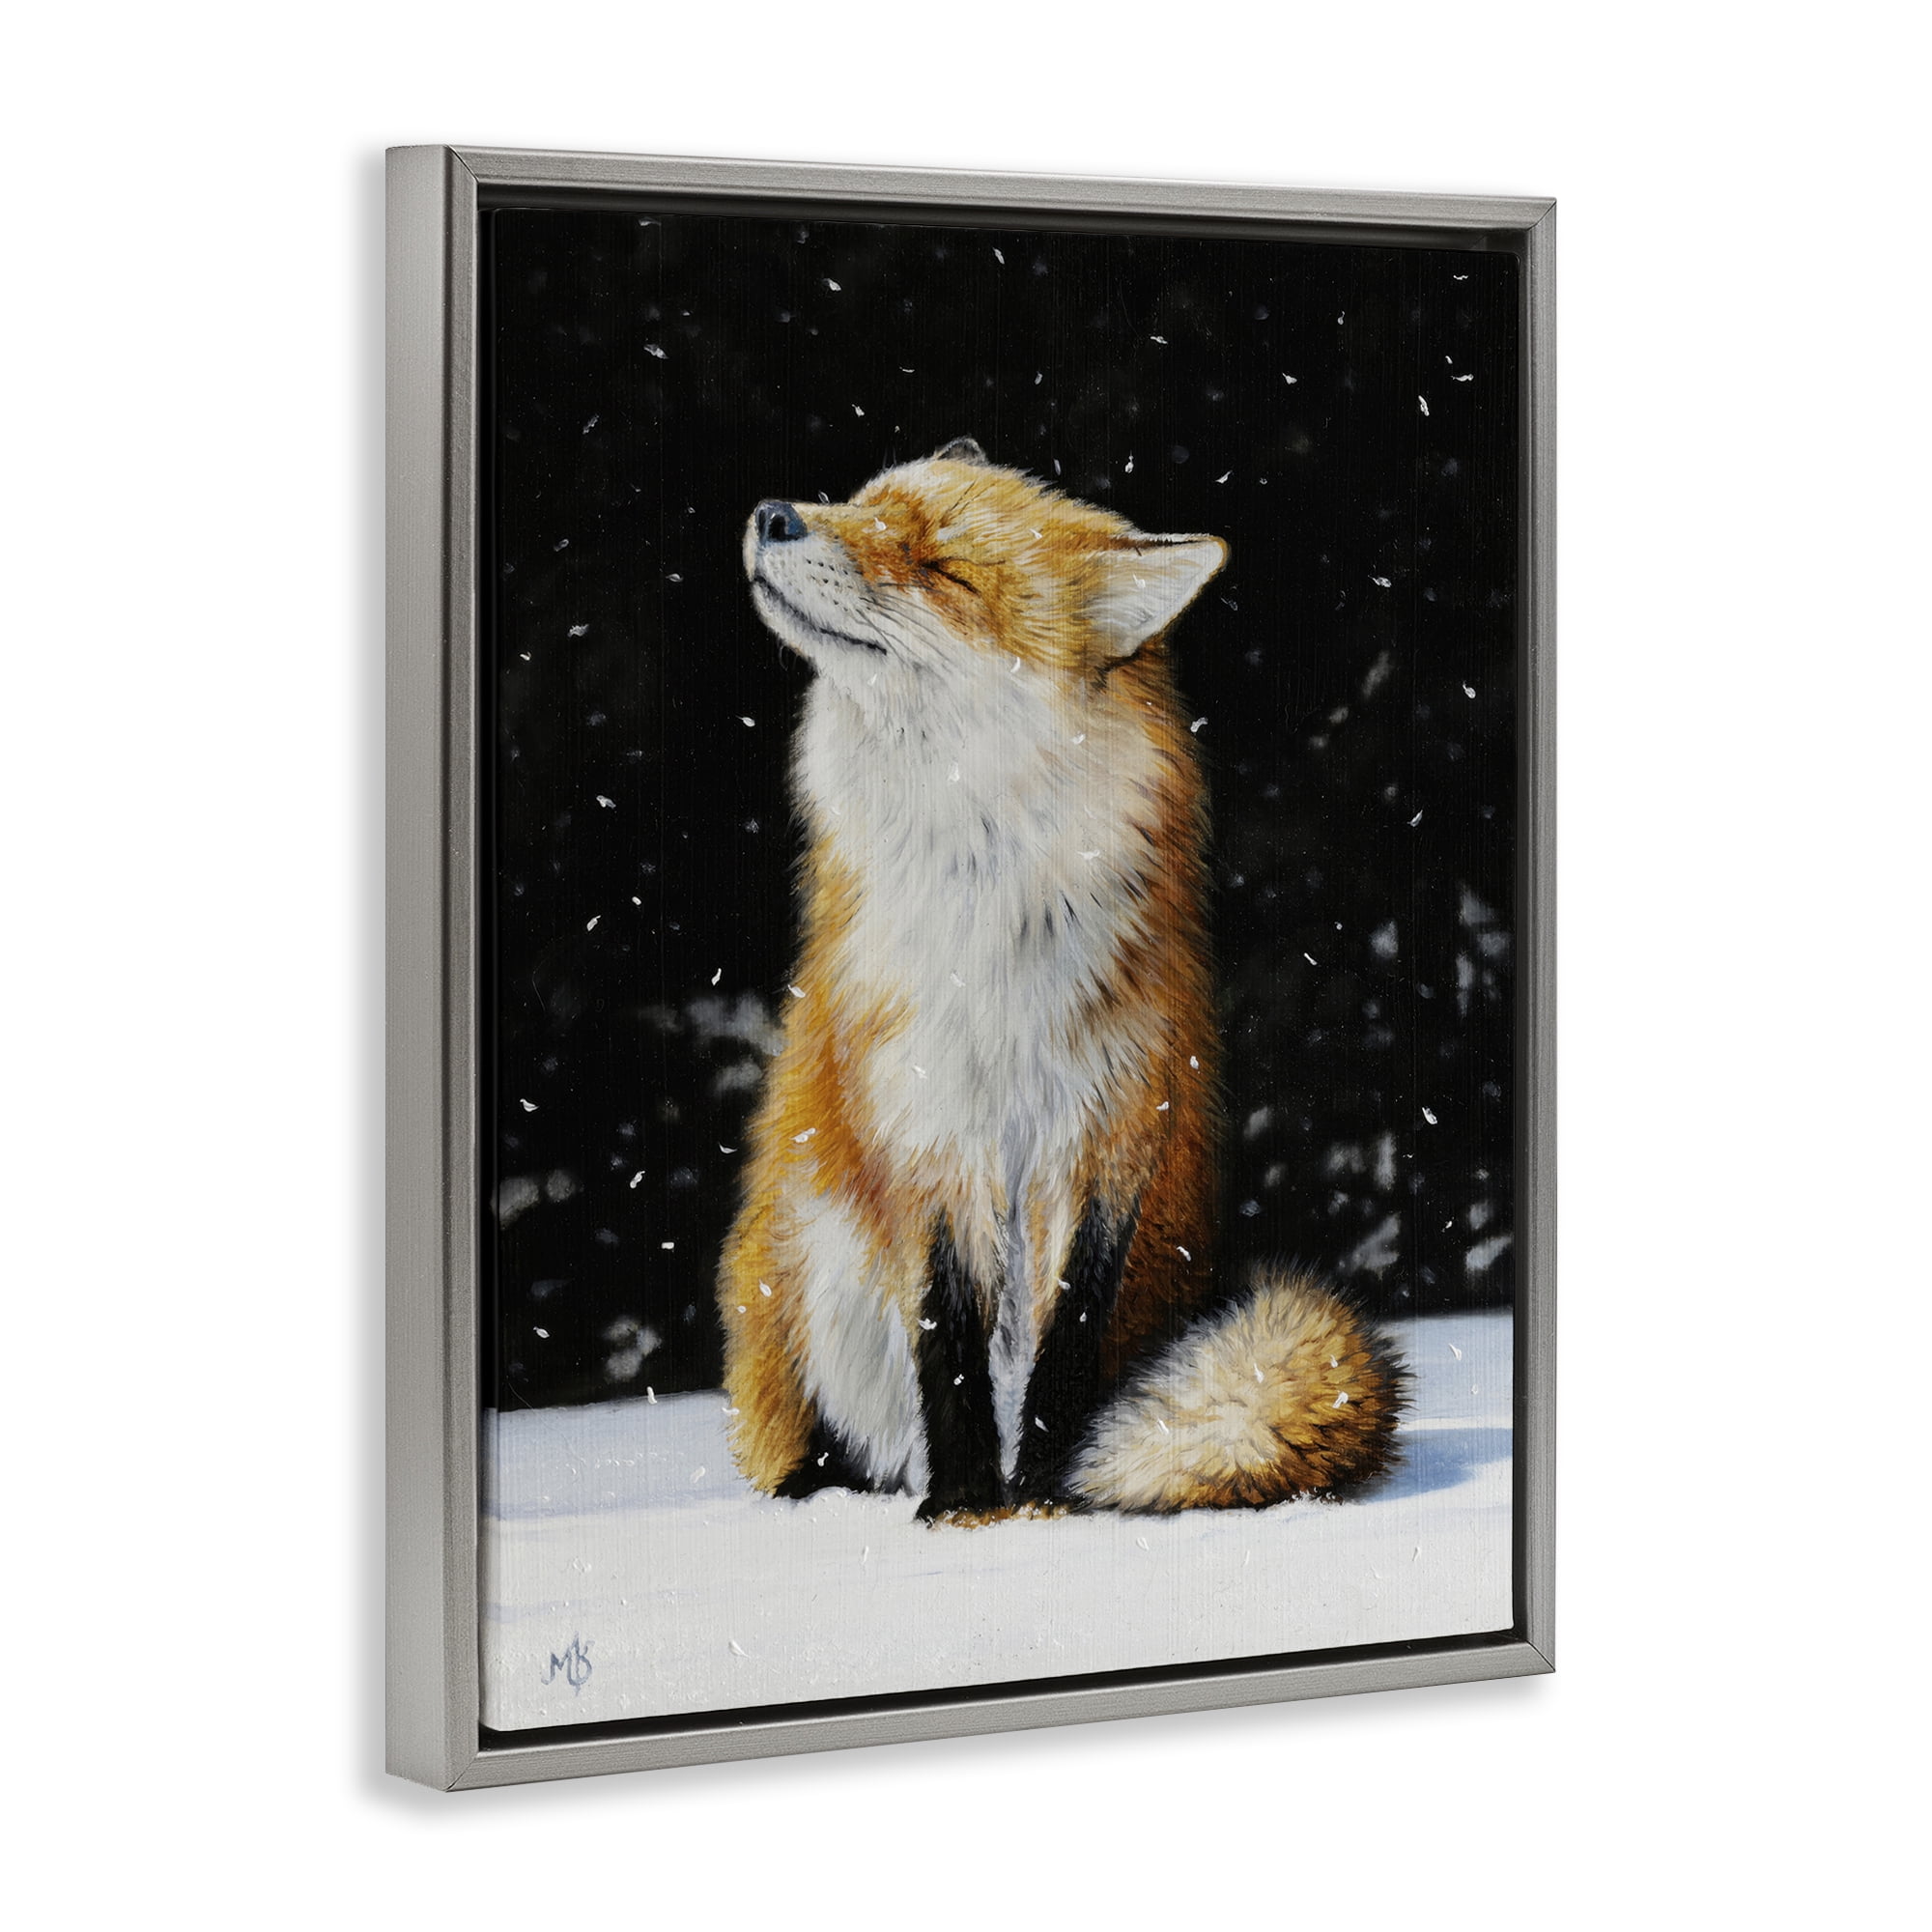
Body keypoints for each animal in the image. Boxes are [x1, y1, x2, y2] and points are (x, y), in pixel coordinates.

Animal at [718, 436, 1405, 1521]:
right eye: (864, 503)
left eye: (943, 569)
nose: (773, 514)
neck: (987, 935)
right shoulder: (928, 1137)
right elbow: (947, 1342)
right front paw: (965, 1505)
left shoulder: (1108, 1133)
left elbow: (1067, 1346)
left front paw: (1043, 1494)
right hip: (808, 1271)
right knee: (835, 1442)